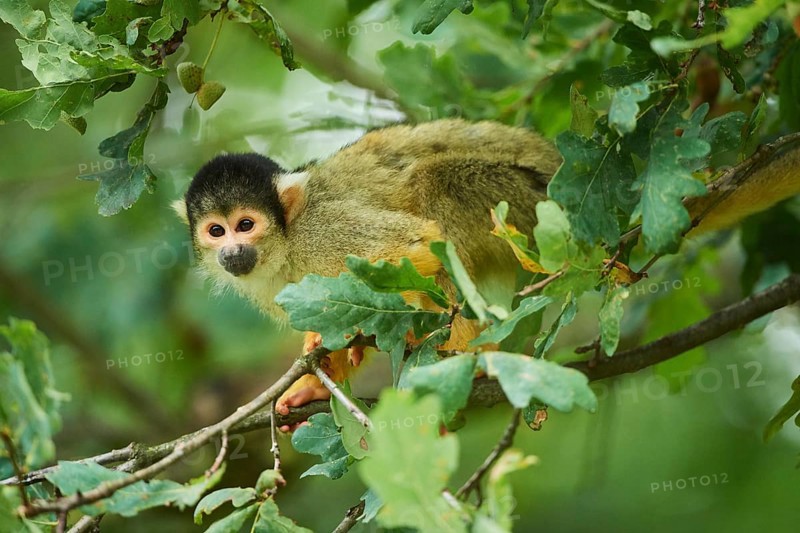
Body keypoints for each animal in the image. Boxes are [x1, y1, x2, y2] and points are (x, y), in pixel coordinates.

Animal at [173, 118, 800, 424]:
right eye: (216, 231)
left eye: (247, 224)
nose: (232, 251)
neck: (284, 248)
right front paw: (316, 375)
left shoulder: (324, 234)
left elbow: (417, 247)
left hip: (532, 211)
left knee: (436, 186)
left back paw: (468, 346)